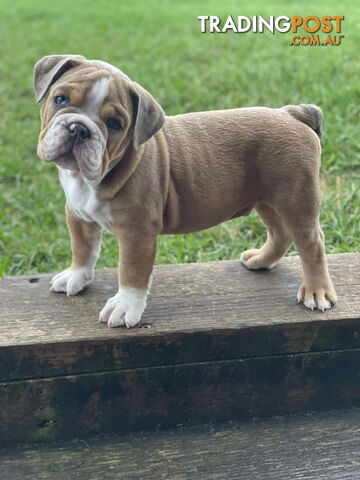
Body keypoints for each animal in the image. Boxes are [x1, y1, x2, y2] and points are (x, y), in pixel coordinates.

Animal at [33, 54, 338, 328]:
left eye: (115, 124)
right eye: (60, 99)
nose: (78, 128)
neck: (89, 179)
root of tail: (292, 113)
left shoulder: (137, 232)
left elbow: (131, 271)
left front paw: (125, 306)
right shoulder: (78, 216)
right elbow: (82, 249)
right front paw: (76, 276)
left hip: (296, 198)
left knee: (311, 242)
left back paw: (317, 291)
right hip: (267, 199)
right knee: (280, 233)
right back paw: (260, 260)